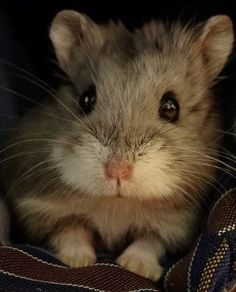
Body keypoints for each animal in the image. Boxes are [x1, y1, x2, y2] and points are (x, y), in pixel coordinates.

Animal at [2, 10, 234, 280]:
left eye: (171, 107)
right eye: (86, 99)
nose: (117, 171)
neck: (116, 203)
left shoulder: (177, 223)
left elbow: (150, 240)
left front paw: (135, 267)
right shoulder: (43, 211)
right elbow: (71, 230)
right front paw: (77, 262)